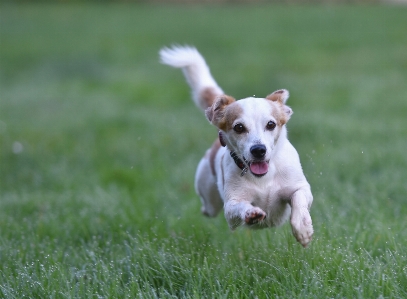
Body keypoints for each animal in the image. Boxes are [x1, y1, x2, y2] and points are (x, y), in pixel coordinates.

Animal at [161, 45, 314, 247]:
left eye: (271, 124)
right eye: (239, 127)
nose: (258, 150)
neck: (263, 178)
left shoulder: (299, 187)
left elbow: (299, 199)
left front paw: (303, 229)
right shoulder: (231, 206)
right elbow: (239, 206)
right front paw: (251, 213)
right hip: (209, 197)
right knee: (207, 208)